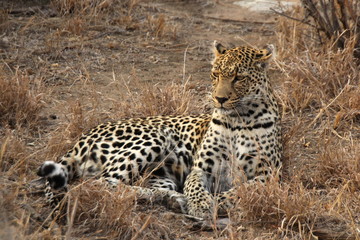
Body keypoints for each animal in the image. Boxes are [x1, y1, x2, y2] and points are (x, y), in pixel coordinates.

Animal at [38, 40, 282, 218]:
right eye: (215, 75)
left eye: (239, 78)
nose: (219, 99)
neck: (239, 119)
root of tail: (82, 137)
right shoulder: (201, 168)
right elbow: (194, 186)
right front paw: (200, 204)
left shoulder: (269, 174)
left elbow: (238, 191)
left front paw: (210, 203)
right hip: (156, 137)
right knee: (99, 184)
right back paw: (173, 198)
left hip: (160, 174)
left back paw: (171, 199)